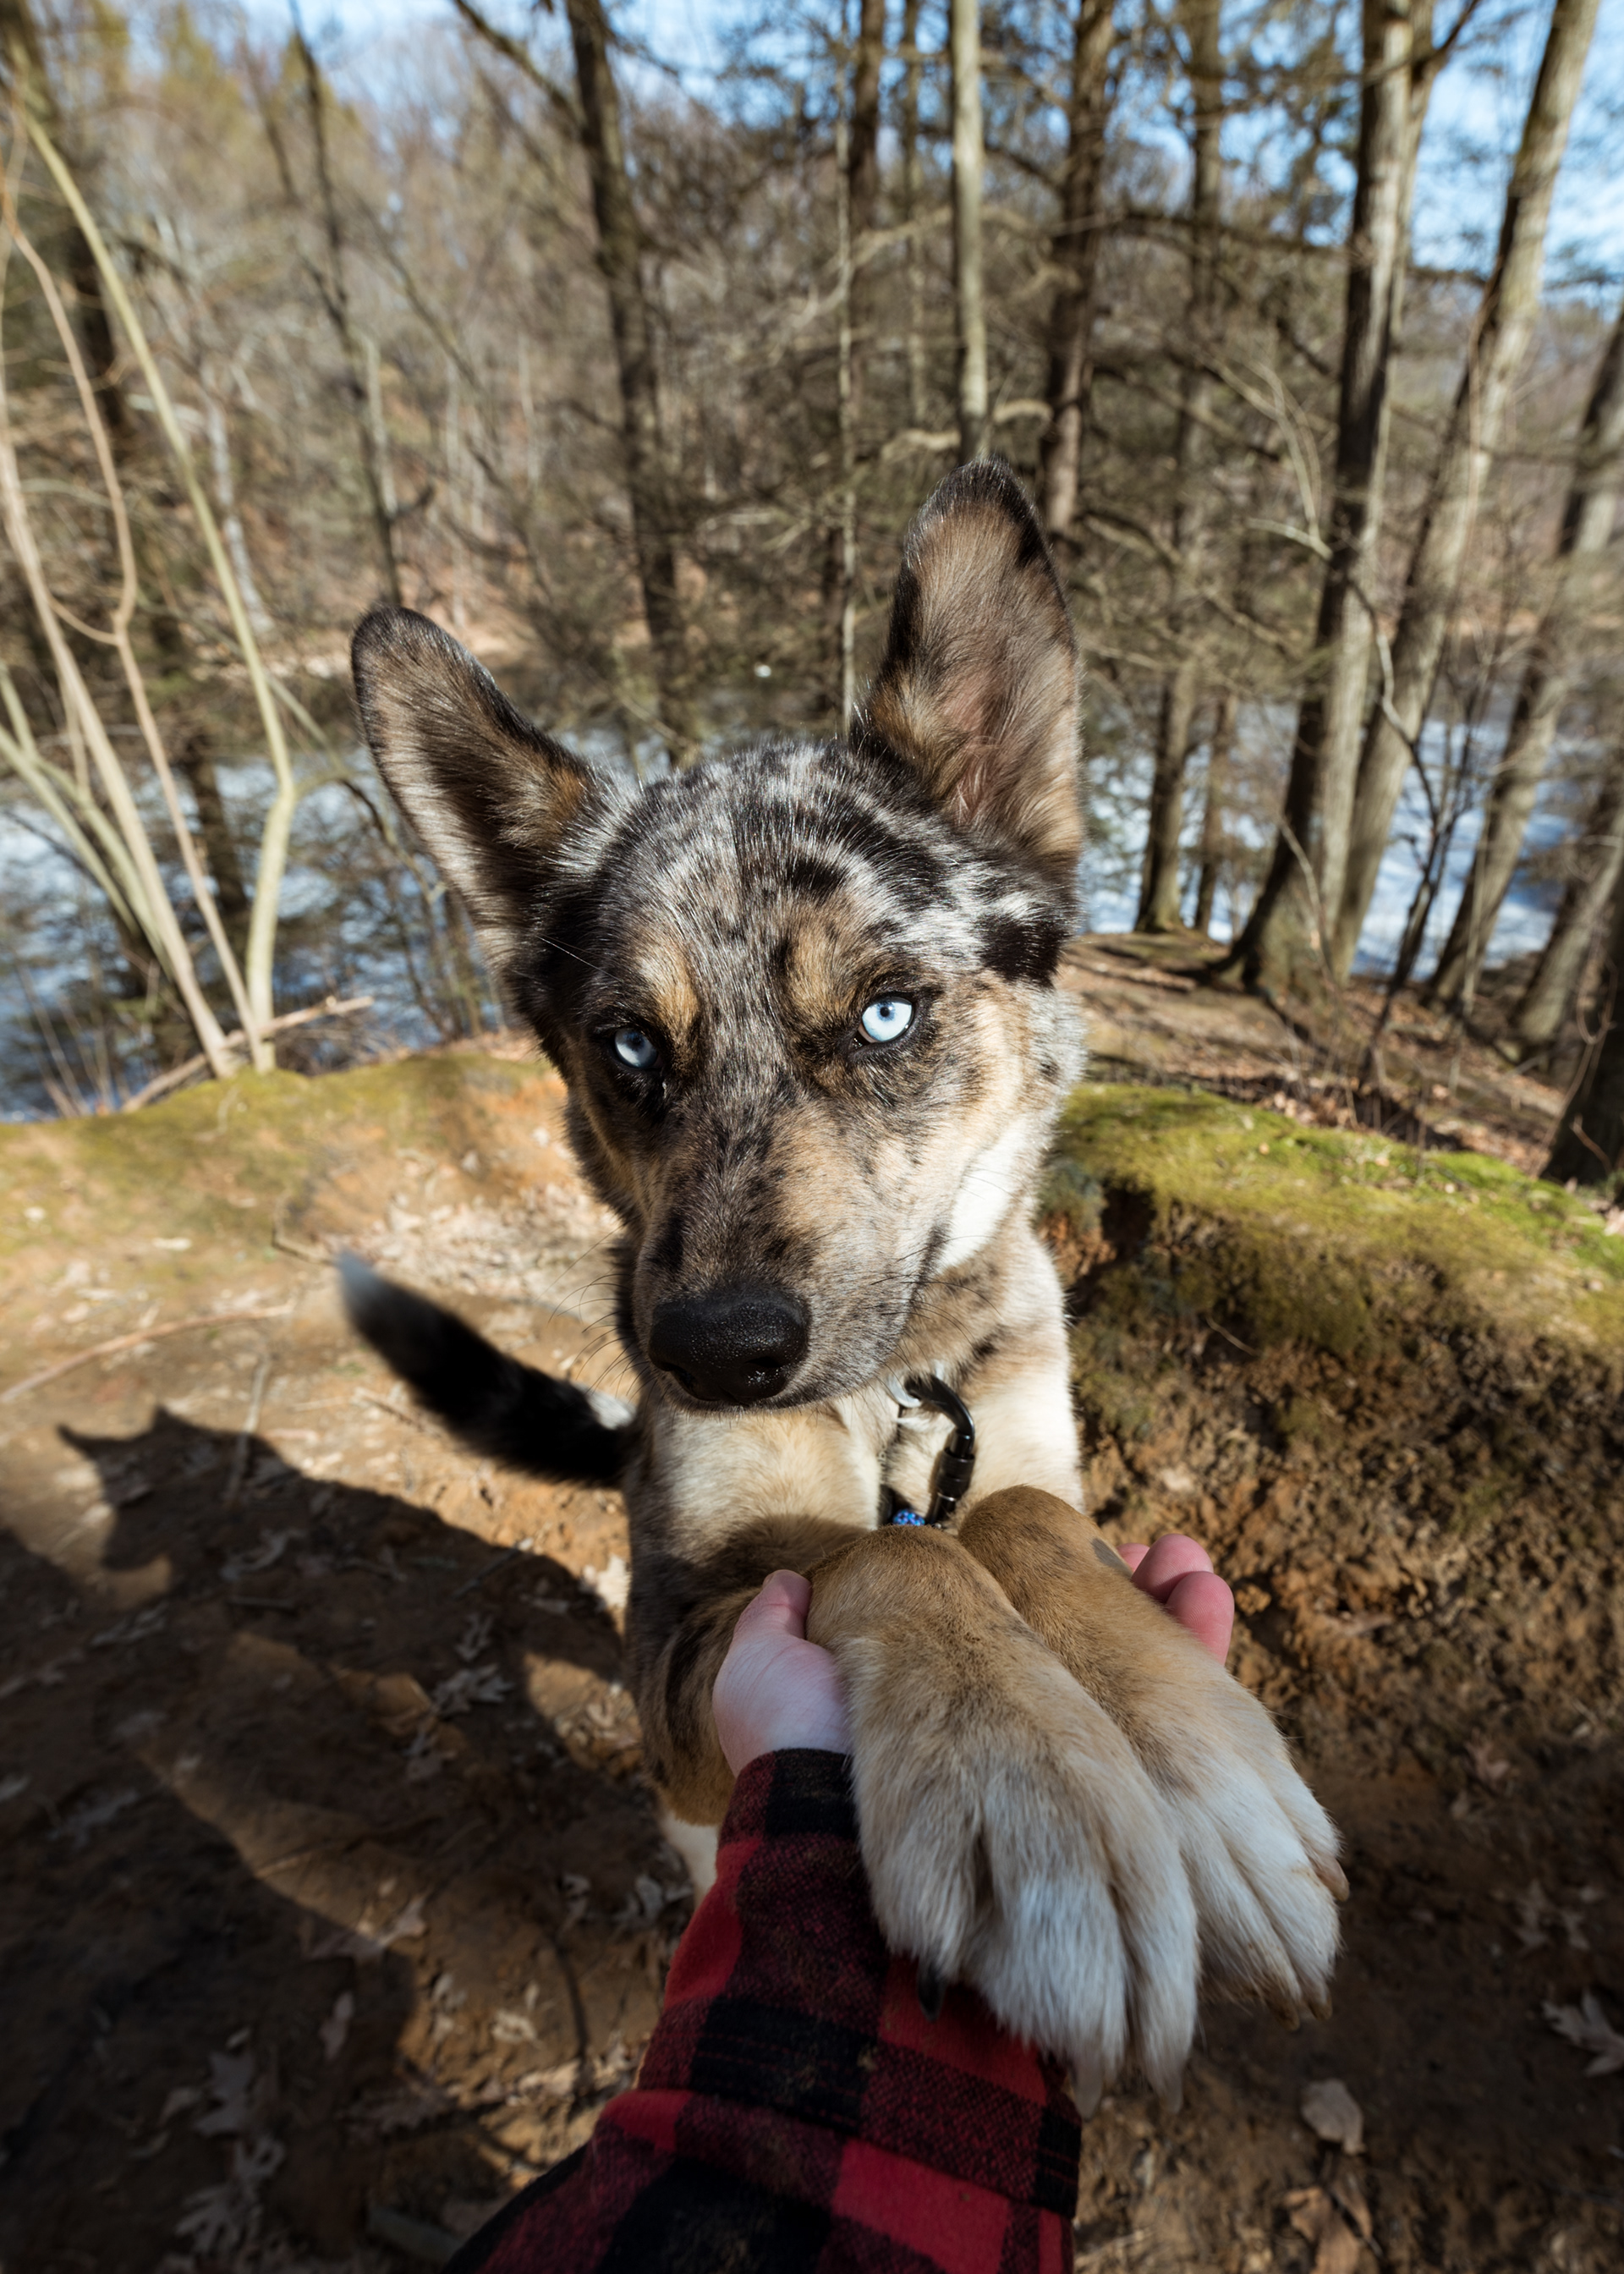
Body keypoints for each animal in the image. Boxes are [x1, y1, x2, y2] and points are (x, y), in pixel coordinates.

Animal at [342, 461, 1343, 2107]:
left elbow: (1018, 1523)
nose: (713, 1354)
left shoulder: (1030, 1464)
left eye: (885, 1015)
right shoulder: (686, 1641)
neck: (899, 1388)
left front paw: (1205, 1768)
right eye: (630, 1046)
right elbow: (891, 1559)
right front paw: (1027, 1782)